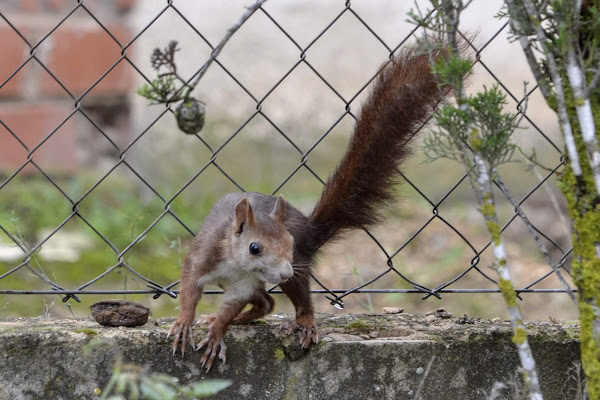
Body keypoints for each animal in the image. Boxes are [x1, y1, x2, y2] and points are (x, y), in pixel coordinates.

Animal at [166, 44, 448, 372]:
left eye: (289, 242)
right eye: (254, 248)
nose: (285, 271)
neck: (235, 264)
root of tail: (311, 231)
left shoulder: (244, 285)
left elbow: (232, 307)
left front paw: (217, 331)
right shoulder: (203, 258)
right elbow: (189, 289)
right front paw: (185, 323)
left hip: (297, 270)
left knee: (284, 301)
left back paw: (303, 321)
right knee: (266, 303)